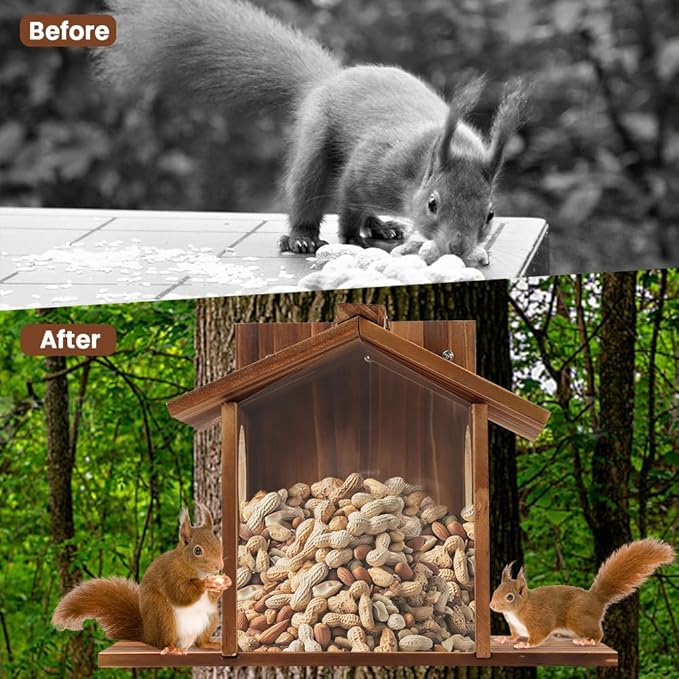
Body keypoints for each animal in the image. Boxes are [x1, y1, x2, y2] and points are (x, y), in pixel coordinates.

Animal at [52, 503, 232, 656]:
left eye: (218, 542)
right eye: (197, 550)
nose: (219, 566)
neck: (197, 571)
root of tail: (148, 635)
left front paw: (225, 582)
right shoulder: (170, 574)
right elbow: (180, 593)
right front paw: (206, 583)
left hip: (211, 618)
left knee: (200, 642)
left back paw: (210, 644)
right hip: (162, 617)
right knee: (163, 641)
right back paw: (171, 649)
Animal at [98, 0, 526, 261]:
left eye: (490, 214)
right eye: (433, 204)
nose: (458, 246)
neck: (425, 159)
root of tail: (328, 80)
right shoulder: (371, 168)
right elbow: (348, 203)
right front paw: (352, 238)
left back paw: (382, 226)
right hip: (316, 142)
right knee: (308, 189)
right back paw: (302, 237)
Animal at [489, 538, 675, 649]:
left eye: (510, 597)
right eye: (496, 590)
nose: (492, 605)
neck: (517, 611)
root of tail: (596, 598)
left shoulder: (539, 620)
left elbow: (539, 635)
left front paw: (526, 645)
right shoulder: (515, 627)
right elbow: (514, 636)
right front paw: (505, 639)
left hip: (579, 618)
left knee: (599, 634)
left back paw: (589, 641)